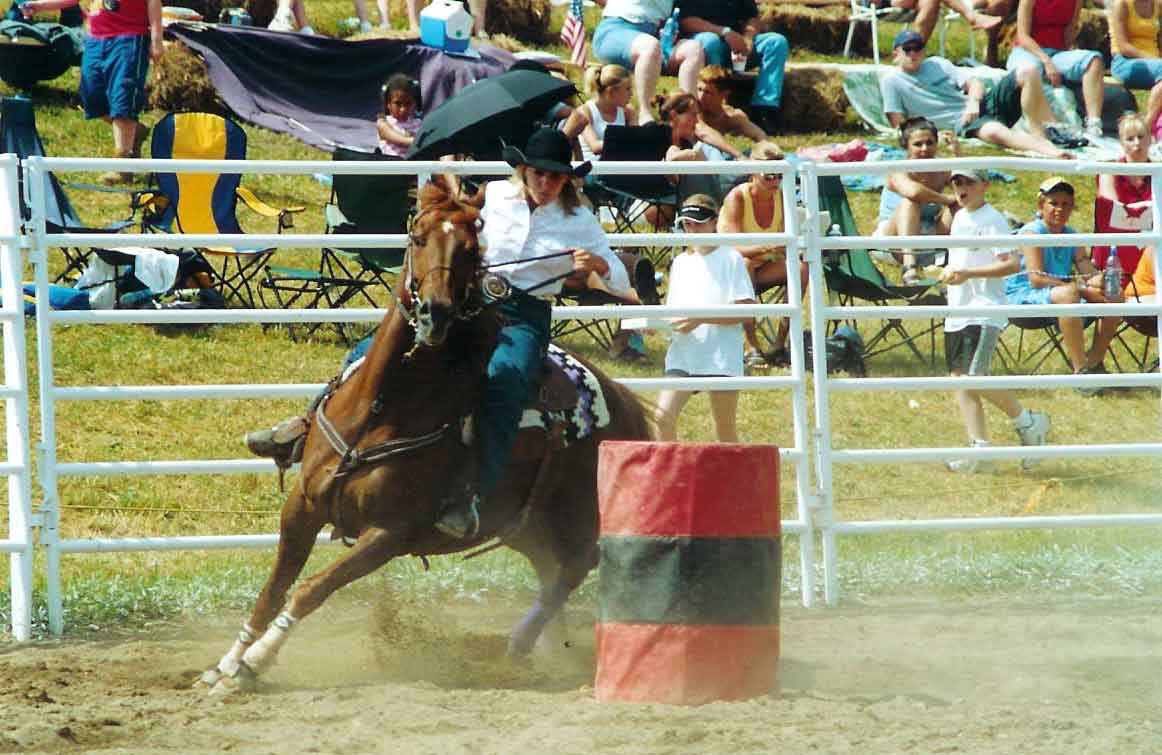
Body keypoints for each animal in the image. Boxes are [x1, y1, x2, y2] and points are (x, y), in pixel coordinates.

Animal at [199, 177, 655, 692]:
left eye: (471, 249)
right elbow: (273, 590)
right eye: (417, 238)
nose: (435, 313)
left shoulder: (390, 533)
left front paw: (254, 663)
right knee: (552, 572)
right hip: (527, 525)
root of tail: (624, 404)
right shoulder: (302, 507)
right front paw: (227, 662)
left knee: (573, 570)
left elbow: (310, 590)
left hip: (575, 518)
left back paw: (519, 646)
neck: (382, 410)